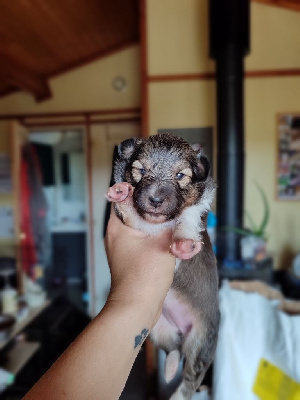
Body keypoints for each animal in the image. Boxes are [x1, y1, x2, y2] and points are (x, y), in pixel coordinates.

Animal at [106, 133, 219, 398]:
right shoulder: (134, 224)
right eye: (140, 170)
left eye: (180, 176)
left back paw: (178, 394)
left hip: (202, 341)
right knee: (174, 351)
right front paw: (121, 193)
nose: (156, 200)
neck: (156, 224)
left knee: (191, 377)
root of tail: (182, 331)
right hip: (157, 331)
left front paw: (184, 244)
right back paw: (168, 370)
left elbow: (188, 218)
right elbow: (130, 212)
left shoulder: (197, 210)